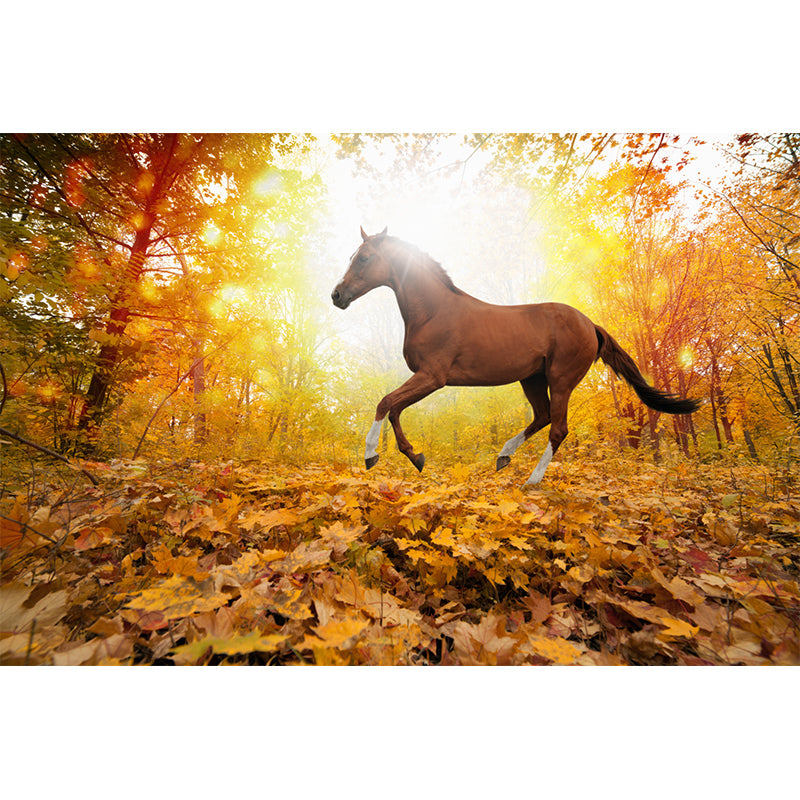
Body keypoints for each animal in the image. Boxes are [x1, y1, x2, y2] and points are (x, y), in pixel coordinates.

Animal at [331, 227, 701, 485]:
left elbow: (385, 403)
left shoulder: (433, 377)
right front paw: (415, 456)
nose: (337, 295)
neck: (433, 311)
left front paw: (370, 455)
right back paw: (503, 456)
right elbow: (395, 408)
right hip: (532, 379)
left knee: (558, 428)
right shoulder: (427, 379)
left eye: (364, 257)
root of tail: (590, 325)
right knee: (543, 417)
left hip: (561, 380)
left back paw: (531, 481)